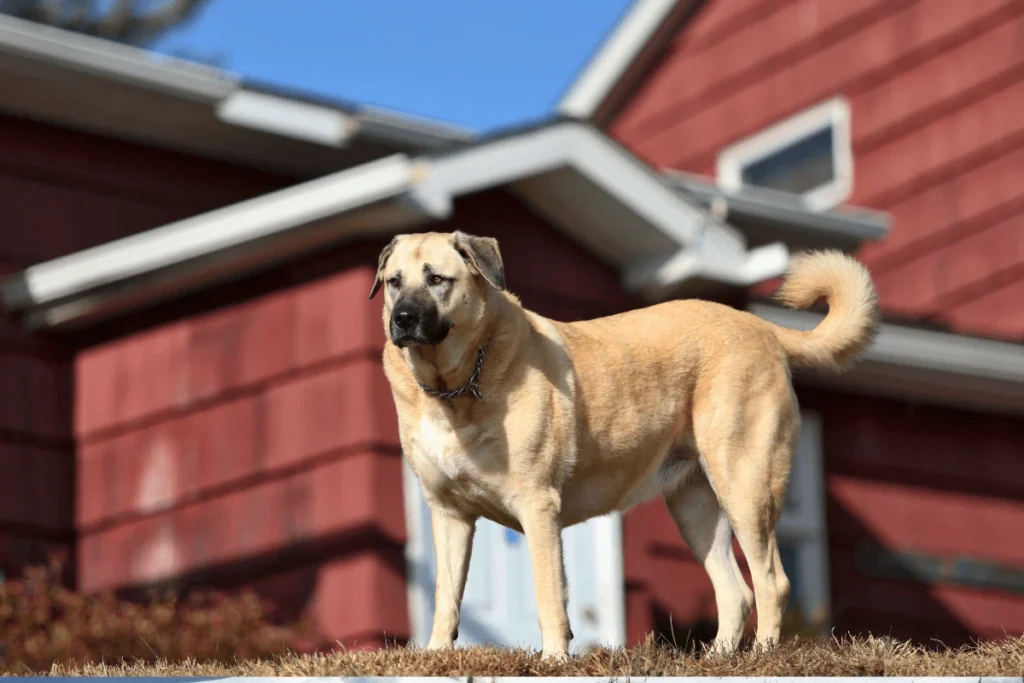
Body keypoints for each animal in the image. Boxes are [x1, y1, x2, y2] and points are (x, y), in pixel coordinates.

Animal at [372, 232, 876, 659]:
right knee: (736, 591)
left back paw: (762, 657)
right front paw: (436, 655)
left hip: (745, 484)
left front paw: (554, 660)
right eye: (394, 282)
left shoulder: (538, 505)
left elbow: (548, 593)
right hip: (695, 506)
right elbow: (446, 594)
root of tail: (763, 327)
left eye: (437, 279)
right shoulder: (449, 513)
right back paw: (716, 659)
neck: (453, 391)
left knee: (773, 581)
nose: (403, 320)